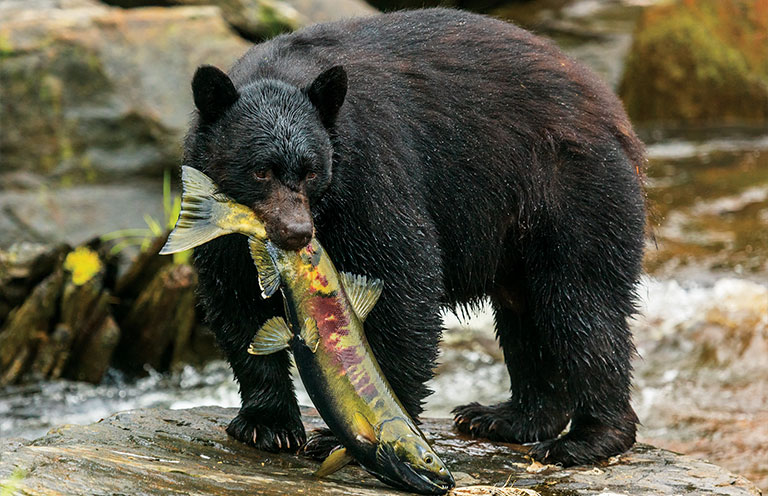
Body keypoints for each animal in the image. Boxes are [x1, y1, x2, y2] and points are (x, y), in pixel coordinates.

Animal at [184, 8, 647, 467]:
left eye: (312, 171)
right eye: (261, 171)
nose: (297, 233)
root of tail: (613, 109)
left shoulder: (369, 169)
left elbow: (402, 278)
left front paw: (361, 428)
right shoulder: (215, 209)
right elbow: (235, 297)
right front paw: (269, 425)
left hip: (571, 190)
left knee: (582, 304)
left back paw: (587, 438)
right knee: (526, 313)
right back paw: (507, 417)